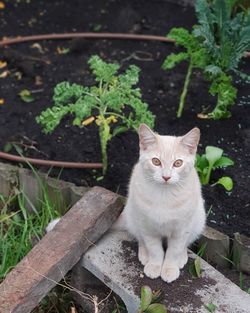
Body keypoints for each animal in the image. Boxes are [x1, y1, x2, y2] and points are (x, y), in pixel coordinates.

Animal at [116, 123, 206, 282]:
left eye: (178, 163)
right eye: (156, 161)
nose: (166, 177)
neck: (164, 195)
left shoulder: (181, 230)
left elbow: (174, 250)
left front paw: (170, 268)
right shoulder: (147, 227)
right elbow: (155, 249)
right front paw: (155, 265)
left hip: (198, 220)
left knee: (186, 242)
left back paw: (182, 257)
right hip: (133, 216)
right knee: (140, 238)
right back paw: (144, 254)